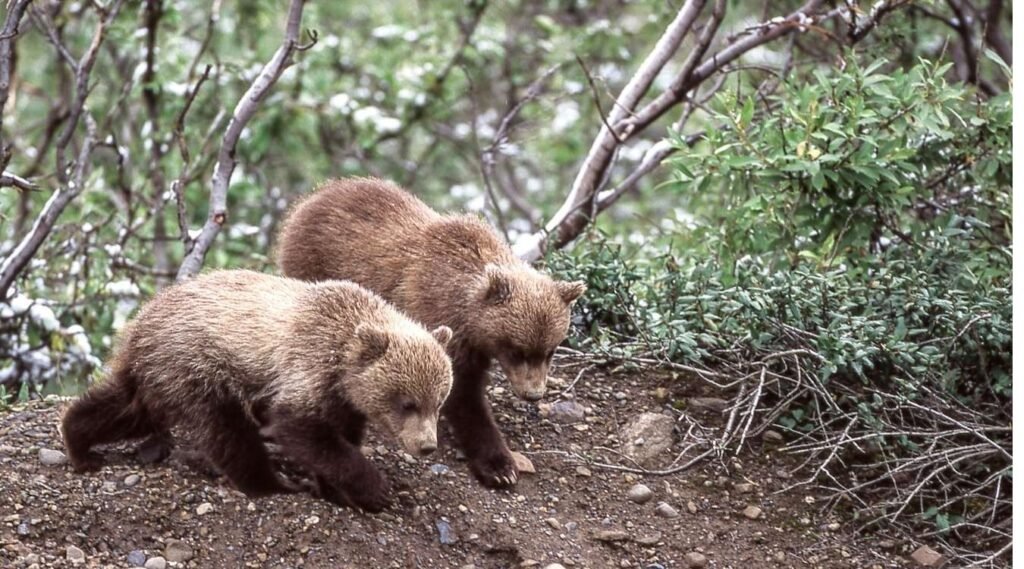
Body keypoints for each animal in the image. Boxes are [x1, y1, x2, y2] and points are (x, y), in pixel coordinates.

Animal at [61, 270, 453, 512]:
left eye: (439, 401)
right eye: (408, 402)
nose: (427, 445)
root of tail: (140, 322)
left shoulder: (343, 399)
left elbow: (337, 437)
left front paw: (338, 490)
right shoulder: (306, 364)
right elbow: (301, 429)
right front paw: (374, 488)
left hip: (159, 372)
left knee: (126, 409)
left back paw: (80, 446)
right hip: (196, 365)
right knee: (226, 431)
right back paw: (272, 483)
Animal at [276, 178, 586, 488]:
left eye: (550, 350)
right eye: (517, 351)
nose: (534, 394)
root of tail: (315, 195)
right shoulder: (439, 318)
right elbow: (464, 397)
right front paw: (499, 466)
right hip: (313, 263)